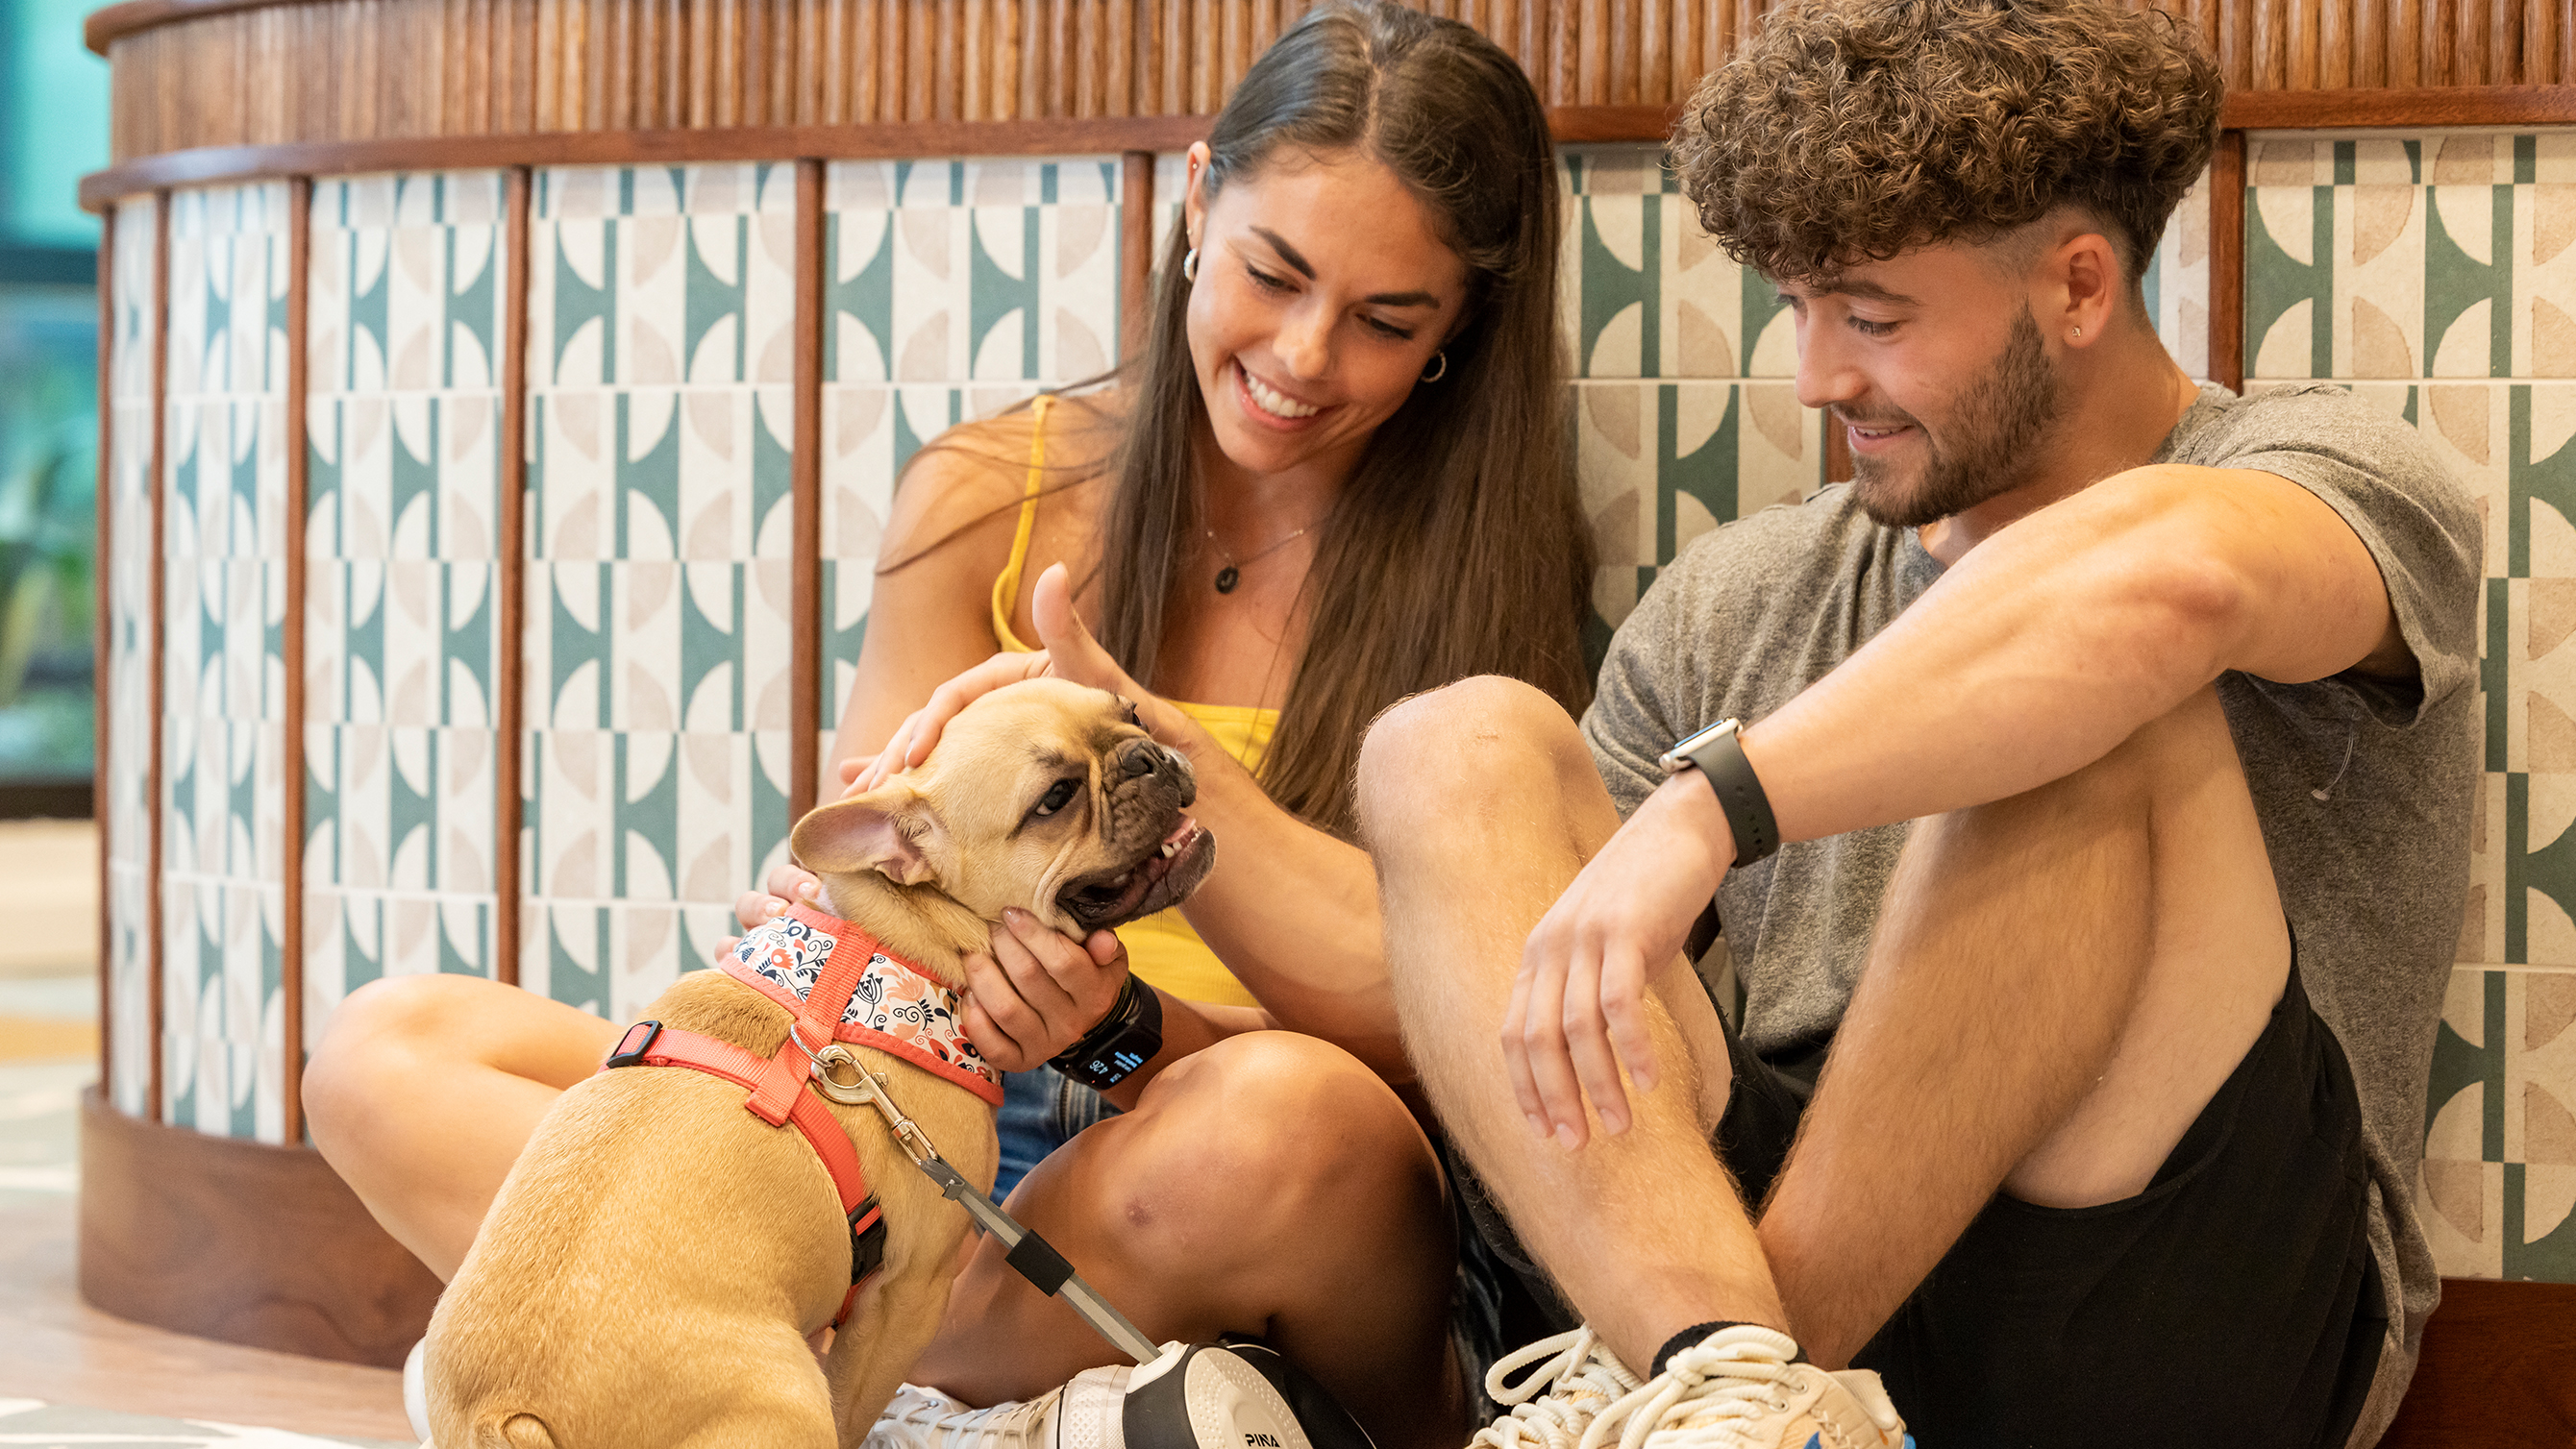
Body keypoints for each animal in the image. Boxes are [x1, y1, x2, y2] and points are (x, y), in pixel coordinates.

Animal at [419, 684, 1215, 1449]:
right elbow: (854, 1407)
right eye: (1055, 799)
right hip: (784, 1391)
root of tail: (508, 1411)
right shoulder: (909, 1294)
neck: (887, 938)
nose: (1148, 754)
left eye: (1132, 711)